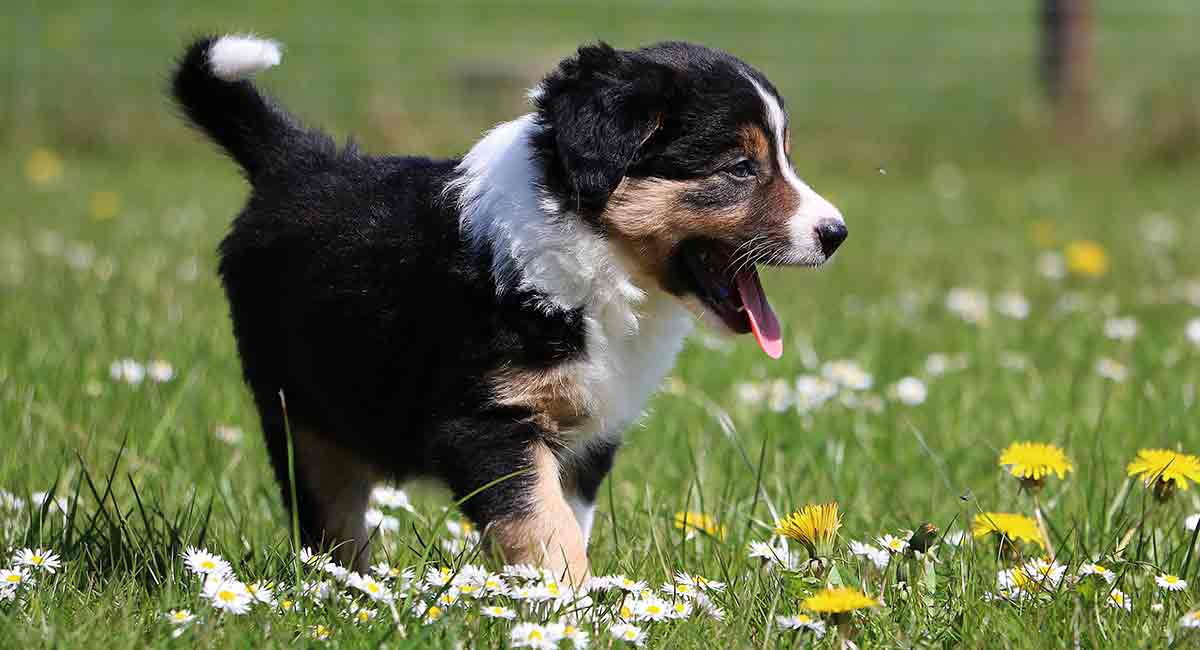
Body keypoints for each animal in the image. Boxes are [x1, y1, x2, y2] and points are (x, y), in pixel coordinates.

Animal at [171, 34, 844, 585]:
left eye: (784, 157)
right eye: (740, 168)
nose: (836, 233)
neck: (594, 256)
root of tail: (300, 161)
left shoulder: (590, 434)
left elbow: (569, 518)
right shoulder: (486, 421)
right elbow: (542, 522)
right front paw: (573, 605)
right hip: (298, 408)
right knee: (328, 511)